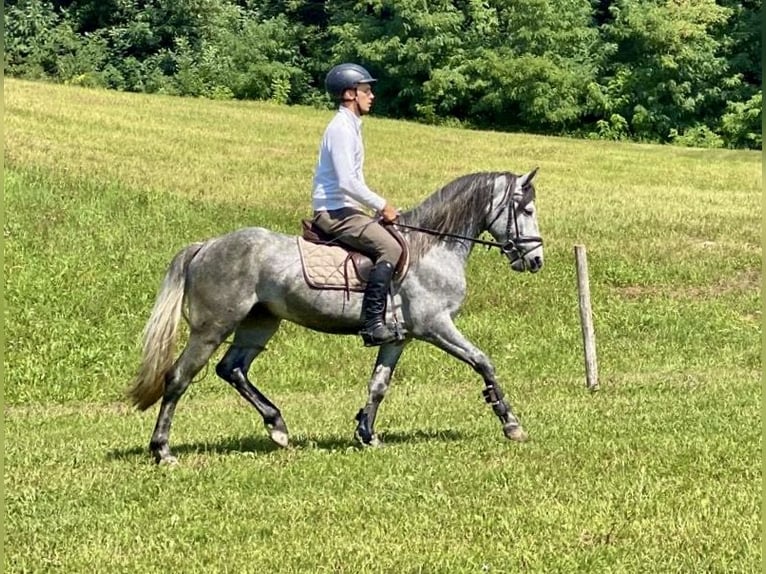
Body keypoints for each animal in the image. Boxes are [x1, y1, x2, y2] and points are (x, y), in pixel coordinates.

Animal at [128, 168, 544, 464]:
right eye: (526, 210)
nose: (536, 260)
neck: (432, 247)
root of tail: (207, 245)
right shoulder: (436, 326)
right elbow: (483, 362)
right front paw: (511, 423)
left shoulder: (400, 338)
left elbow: (378, 385)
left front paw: (366, 433)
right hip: (211, 329)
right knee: (178, 378)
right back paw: (163, 451)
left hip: (259, 324)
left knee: (233, 369)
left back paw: (278, 428)